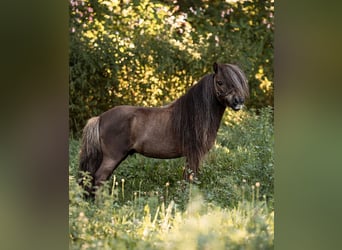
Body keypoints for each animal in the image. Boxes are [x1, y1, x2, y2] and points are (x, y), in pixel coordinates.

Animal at [79, 62, 250, 193]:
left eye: (239, 82)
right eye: (220, 82)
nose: (238, 101)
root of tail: (100, 118)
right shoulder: (193, 154)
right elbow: (190, 178)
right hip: (112, 157)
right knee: (99, 179)